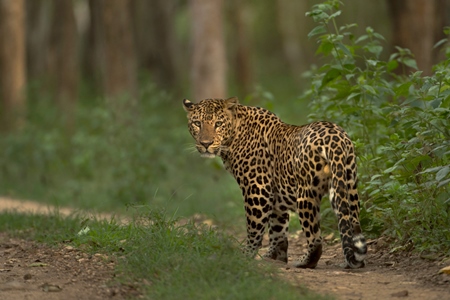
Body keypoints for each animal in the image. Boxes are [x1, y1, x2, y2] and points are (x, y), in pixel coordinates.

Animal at [182, 97, 366, 268]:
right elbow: (278, 228)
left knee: (316, 238)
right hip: (348, 186)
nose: (206, 144)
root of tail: (335, 139)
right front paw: (275, 256)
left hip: (306, 195)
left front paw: (246, 255)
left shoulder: (257, 189)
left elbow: (254, 227)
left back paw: (305, 262)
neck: (234, 134)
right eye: (197, 123)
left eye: (218, 124)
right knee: (351, 222)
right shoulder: (277, 196)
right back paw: (353, 261)